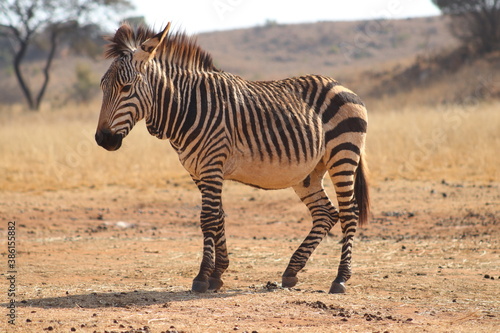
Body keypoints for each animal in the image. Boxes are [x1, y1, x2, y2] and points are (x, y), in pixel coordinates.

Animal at [95, 24, 370, 294]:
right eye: (102, 88)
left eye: (126, 88)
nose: (102, 139)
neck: (187, 106)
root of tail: (340, 85)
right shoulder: (198, 171)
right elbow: (218, 216)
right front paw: (218, 273)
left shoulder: (212, 164)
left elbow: (208, 219)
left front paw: (202, 277)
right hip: (308, 172)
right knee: (326, 213)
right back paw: (292, 271)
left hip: (343, 154)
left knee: (349, 213)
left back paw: (340, 279)